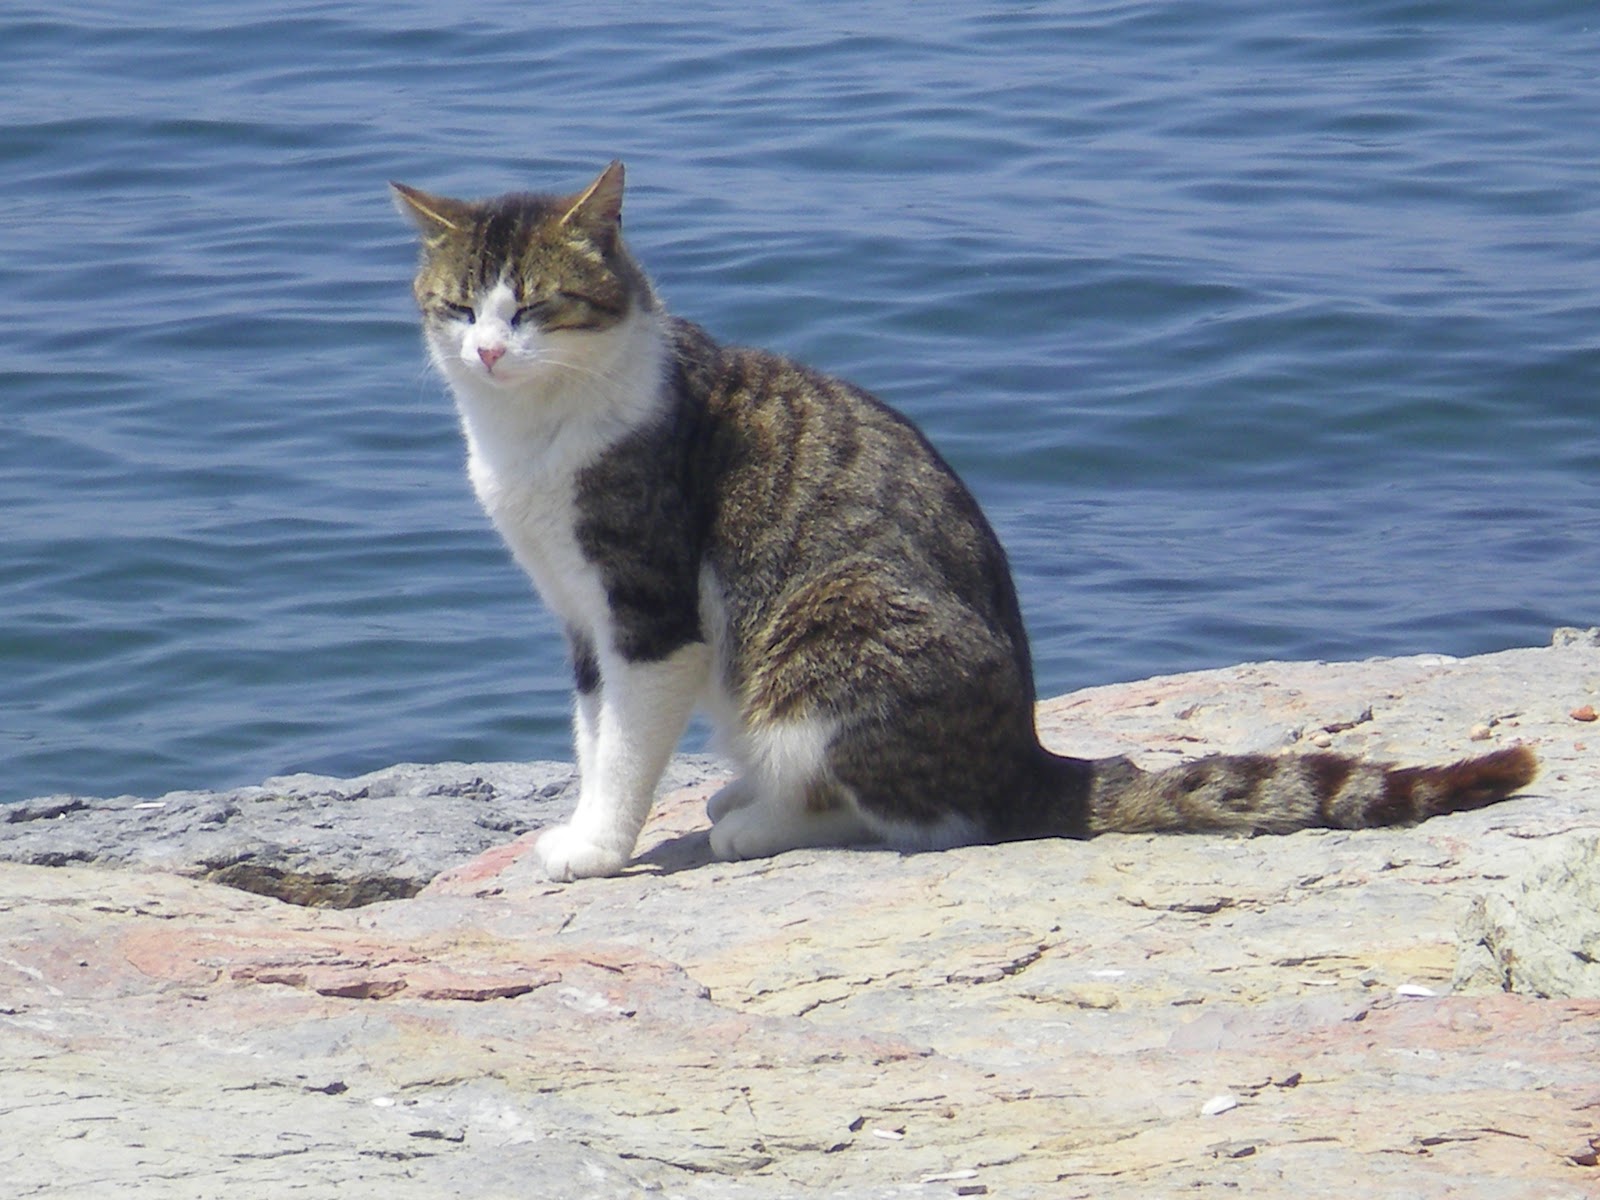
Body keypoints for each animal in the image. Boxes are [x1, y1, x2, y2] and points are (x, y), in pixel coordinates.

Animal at [393, 161, 1537, 881]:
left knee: (912, 812)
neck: (531, 431)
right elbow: (592, 734)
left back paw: (754, 821)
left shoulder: (647, 602)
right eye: (459, 308)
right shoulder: (580, 614)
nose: (487, 351)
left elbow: (626, 744)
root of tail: (1027, 757)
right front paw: (583, 820)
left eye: (535, 307)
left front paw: (597, 847)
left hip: (831, 618)